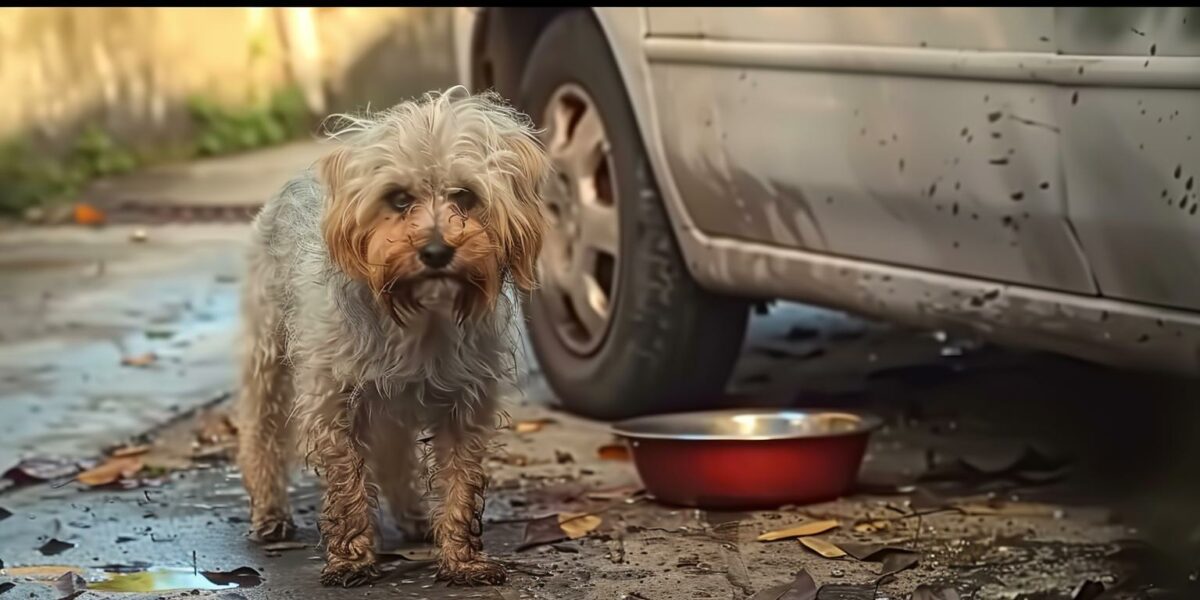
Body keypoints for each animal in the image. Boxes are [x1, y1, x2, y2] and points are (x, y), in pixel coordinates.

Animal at [232, 87, 549, 588]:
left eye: (465, 196)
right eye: (399, 199)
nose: (436, 251)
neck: (421, 314)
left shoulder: (465, 403)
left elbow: (461, 482)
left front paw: (462, 559)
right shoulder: (334, 399)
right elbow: (346, 482)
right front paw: (351, 559)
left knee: (395, 451)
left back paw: (414, 516)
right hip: (267, 355)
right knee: (260, 430)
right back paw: (269, 512)